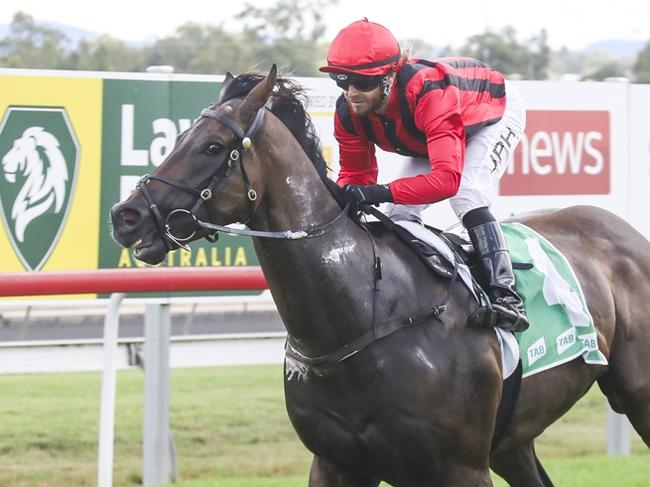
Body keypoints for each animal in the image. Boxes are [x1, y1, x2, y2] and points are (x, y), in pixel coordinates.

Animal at [110, 66, 648, 487]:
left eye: (212, 146)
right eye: (176, 140)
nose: (125, 216)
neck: (362, 314)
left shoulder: (461, 467)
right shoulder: (336, 464)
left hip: (636, 394)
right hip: (513, 440)